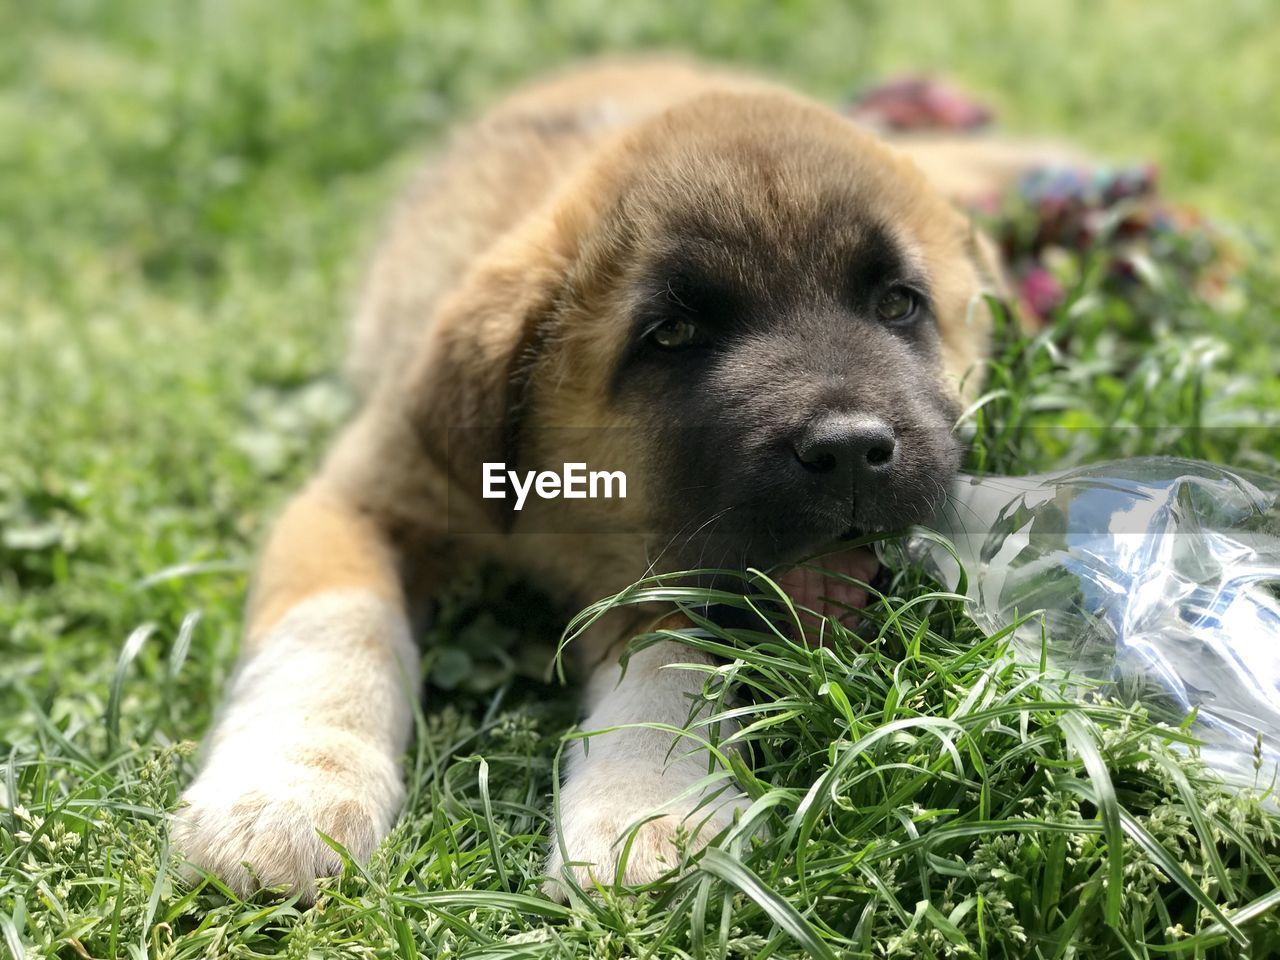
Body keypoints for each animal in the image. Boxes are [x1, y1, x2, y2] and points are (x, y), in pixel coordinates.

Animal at [175, 58, 1024, 901]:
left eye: (898, 305)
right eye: (672, 334)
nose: (849, 450)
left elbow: (667, 665)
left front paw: (645, 808)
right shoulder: (360, 500)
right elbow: (331, 630)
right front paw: (286, 794)